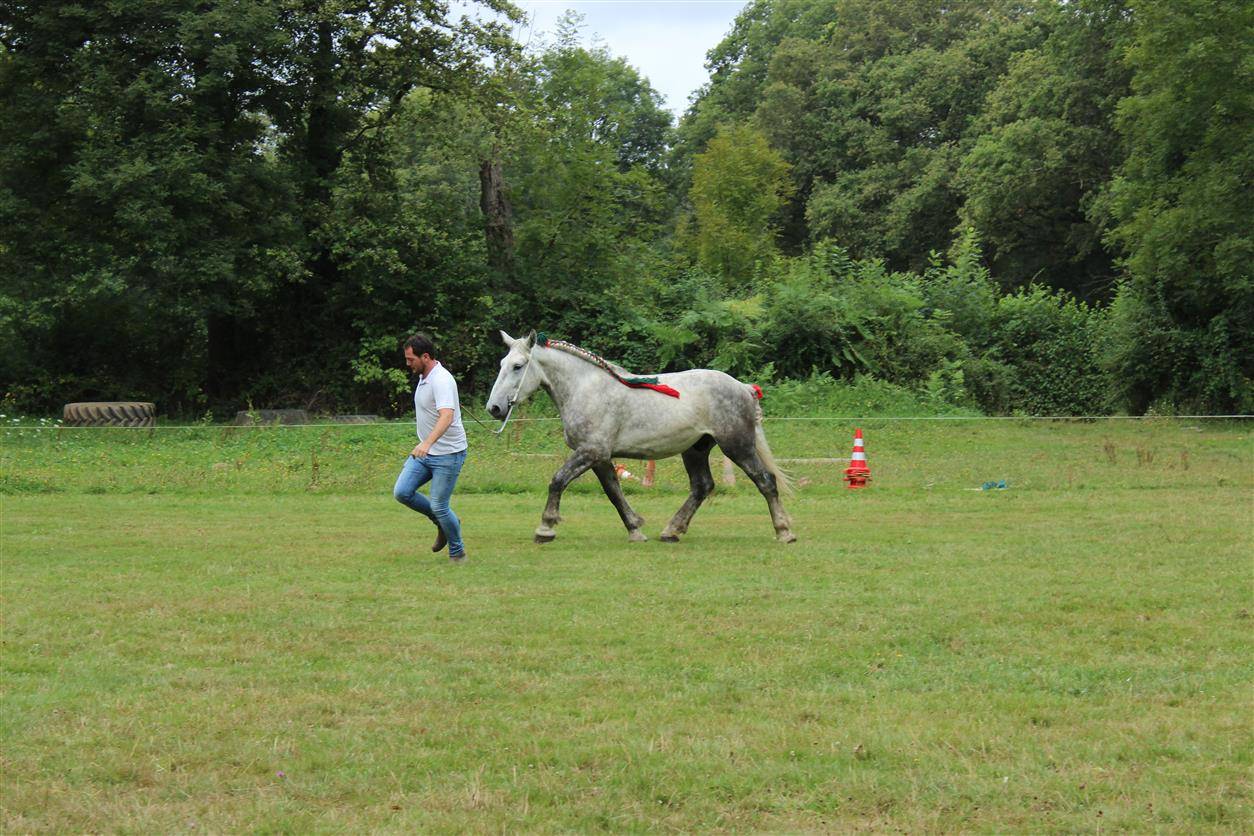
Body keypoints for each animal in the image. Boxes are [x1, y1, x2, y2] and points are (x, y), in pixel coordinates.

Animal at [486, 330, 796, 545]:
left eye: (518, 366)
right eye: (501, 362)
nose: (495, 408)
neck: (586, 389)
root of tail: (744, 388)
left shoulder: (590, 452)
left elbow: (558, 481)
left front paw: (545, 528)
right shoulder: (599, 457)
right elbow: (614, 492)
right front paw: (635, 529)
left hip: (737, 447)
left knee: (765, 481)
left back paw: (784, 532)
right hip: (695, 449)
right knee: (702, 486)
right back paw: (672, 530)